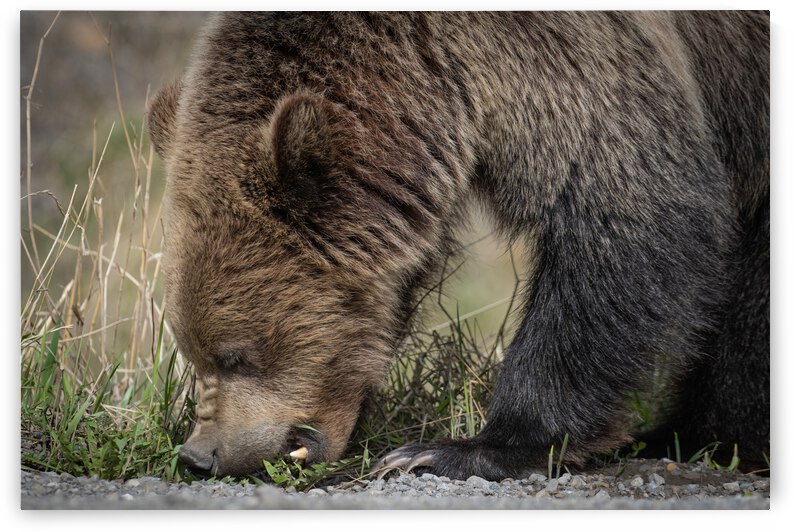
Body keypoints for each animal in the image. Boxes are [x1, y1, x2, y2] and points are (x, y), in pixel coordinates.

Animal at [148, 12, 769, 480]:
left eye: (237, 354)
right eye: (190, 349)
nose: (200, 455)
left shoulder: (569, 57)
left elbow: (632, 214)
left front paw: (459, 449)